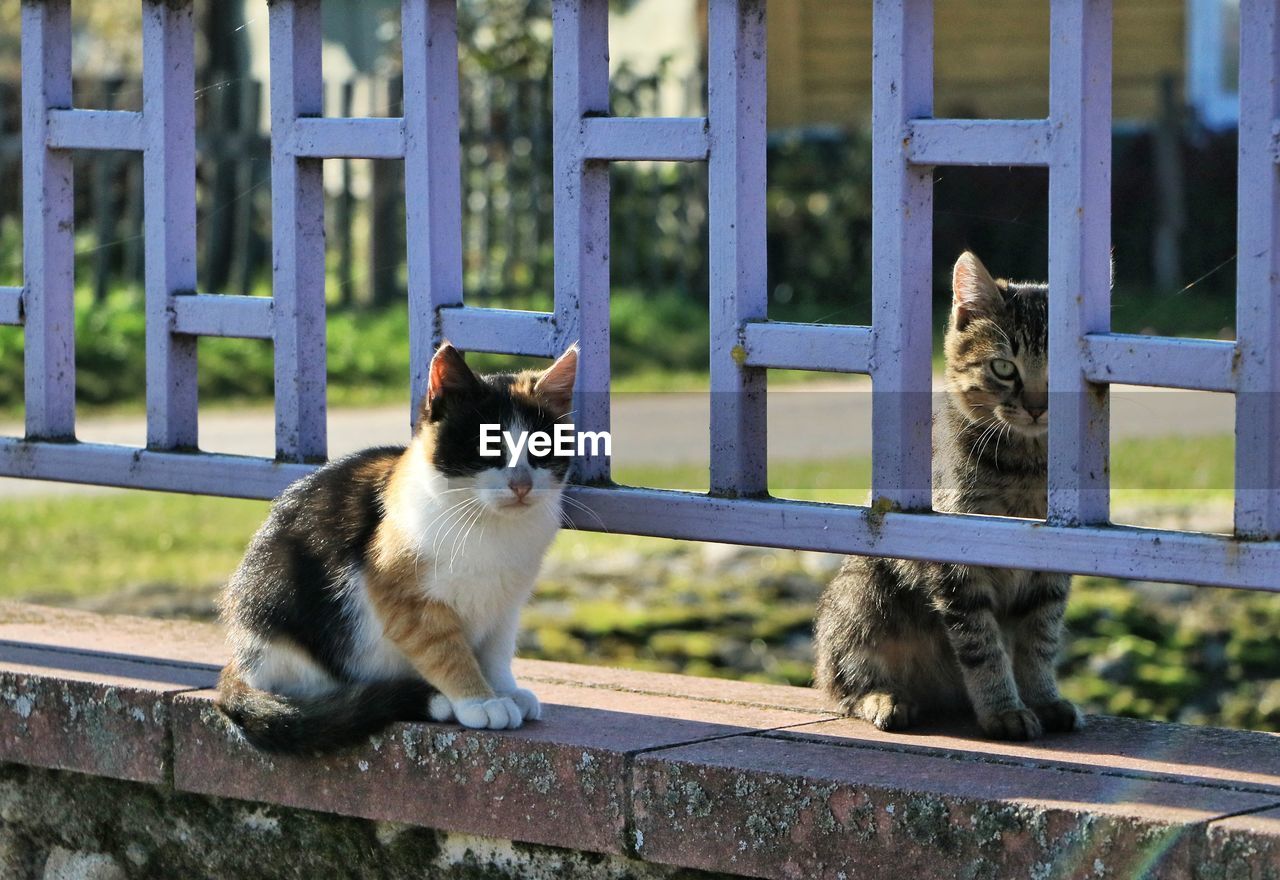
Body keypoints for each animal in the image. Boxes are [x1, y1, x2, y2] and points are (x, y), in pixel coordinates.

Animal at [217, 340, 578, 752]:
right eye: (486, 449)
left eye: (541, 449)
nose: (521, 485)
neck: (488, 526)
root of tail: (241, 657)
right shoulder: (404, 598)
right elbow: (444, 649)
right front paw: (479, 700)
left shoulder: (506, 603)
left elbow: (497, 651)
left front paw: (505, 690)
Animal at [814, 250, 1075, 736]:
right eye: (1004, 368)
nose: (1036, 407)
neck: (1026, 465)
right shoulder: (957, 561)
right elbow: (981, 645)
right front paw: (1003, 709)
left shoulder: (1053, 565)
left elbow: (1040, 639)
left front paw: (1043, 697)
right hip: (862, 599)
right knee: (843, 683)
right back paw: (885, 698)